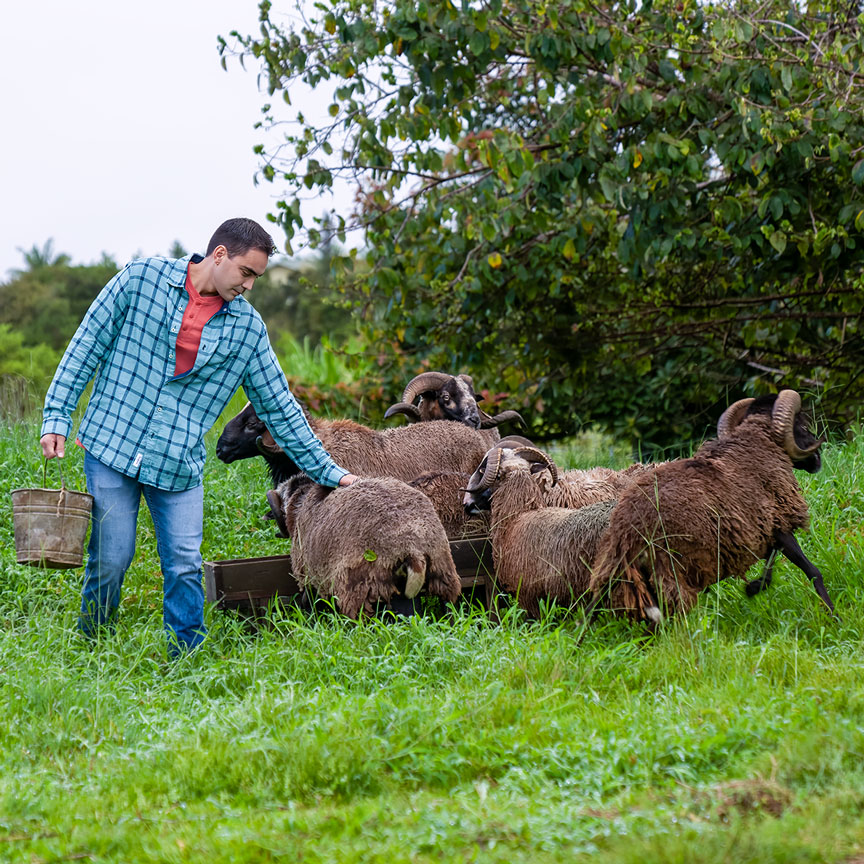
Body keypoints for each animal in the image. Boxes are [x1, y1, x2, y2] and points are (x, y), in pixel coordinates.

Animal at [584, 388, 832, 624]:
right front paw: (832, 614)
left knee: (592, 608)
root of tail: (628, 530)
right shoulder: (777, 523)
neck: (757, 442)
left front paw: (754, 586)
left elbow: (772, 558)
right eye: (802, 425)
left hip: (617, 571)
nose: (818, 458)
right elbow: (811, 570)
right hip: (670, 570)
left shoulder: (761, 530)